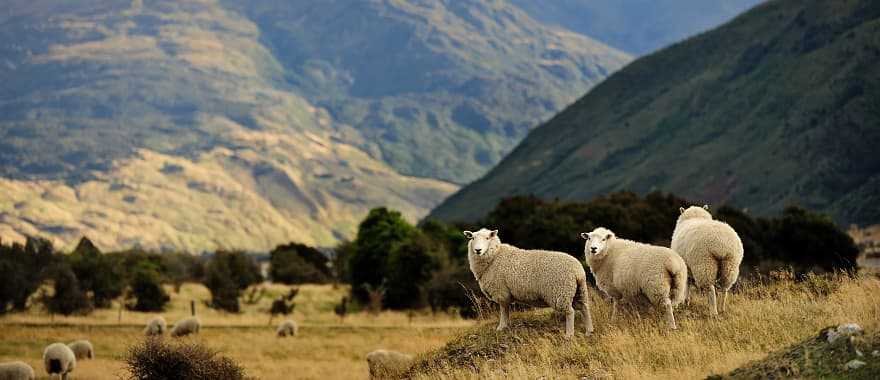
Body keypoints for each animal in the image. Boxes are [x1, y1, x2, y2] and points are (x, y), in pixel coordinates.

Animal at [464, 227, 596, 336]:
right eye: (473, 238)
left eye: (487, 238)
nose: (478, 250)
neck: (494, 256)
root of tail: (578, 271)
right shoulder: (505, 293)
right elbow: (506, 310)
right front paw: (505, 326)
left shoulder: (501, 291)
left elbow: (503, 310)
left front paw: (501, 327)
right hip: (579, 290)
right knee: (584, 308)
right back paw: (589, 331)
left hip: (560, 292)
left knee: (570, 312)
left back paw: (569, 334)